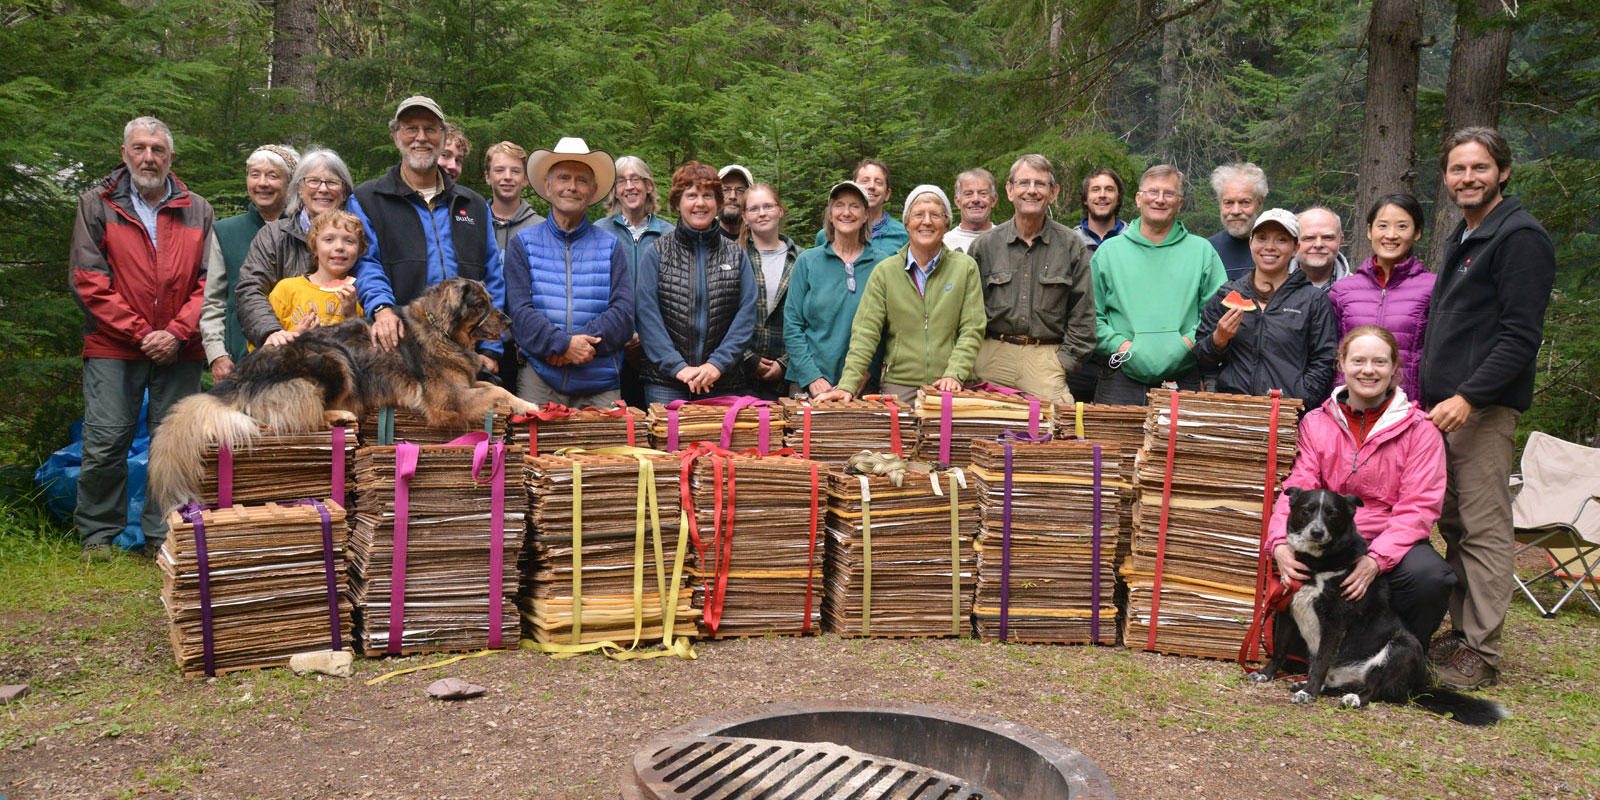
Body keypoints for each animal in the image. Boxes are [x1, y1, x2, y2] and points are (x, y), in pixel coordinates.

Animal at [150, 278, 537, 508]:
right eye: (481, 304)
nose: (508, 320)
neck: (443, 330)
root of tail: (237, 377)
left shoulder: (466, 384)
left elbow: (493, 385)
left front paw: (526, 402)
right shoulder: (447, 402)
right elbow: (494, 395)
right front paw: (528, 404)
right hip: (332, 360)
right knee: (304, 411)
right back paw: (341, 414)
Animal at [1254, 486, 1504, 726]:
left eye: (1333, 514)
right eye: (1307, 510)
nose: (1317, 532)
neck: (1316, 565)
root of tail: (1416, 687)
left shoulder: (1334, 623)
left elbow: (1322, 661)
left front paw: (1309, 693)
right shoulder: (1287, 611)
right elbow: (1279, 650)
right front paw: (1265, 675)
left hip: (1402, 646)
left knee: (1373, 690)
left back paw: (1351, 699)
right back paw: (1312, 685)